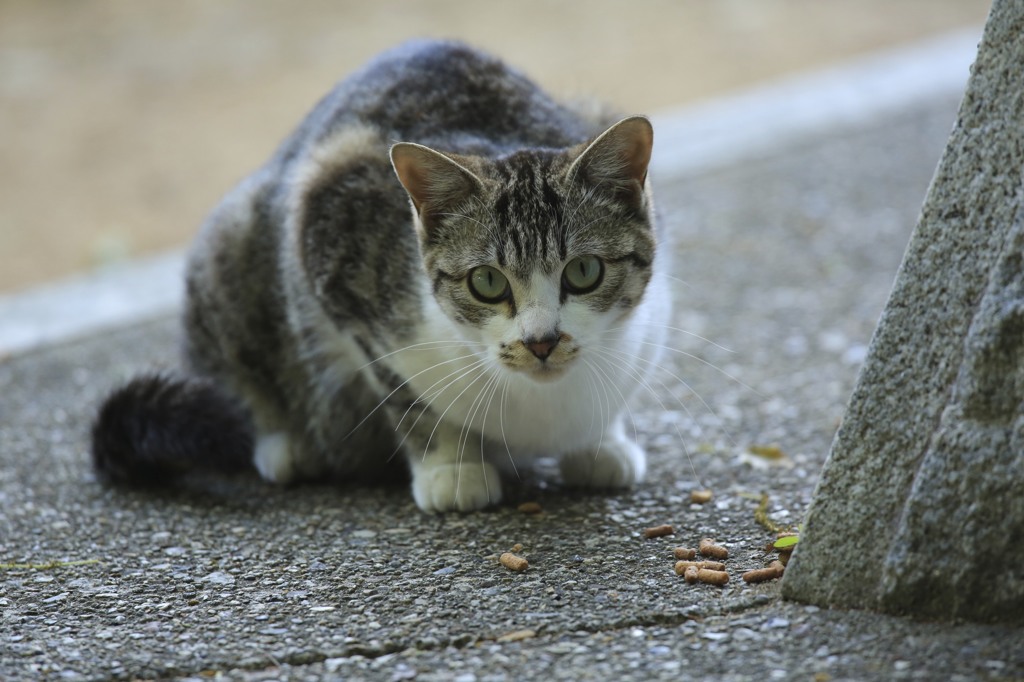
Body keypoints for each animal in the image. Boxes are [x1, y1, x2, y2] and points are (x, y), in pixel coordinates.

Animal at [90, 38, 671, 509]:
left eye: (584, 271)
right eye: (487, 282)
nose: (542, 342)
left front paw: (601, 443)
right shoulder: (328, 225)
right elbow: (404, 393)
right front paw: (451, 467)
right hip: (232, 244)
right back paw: (285, 442)